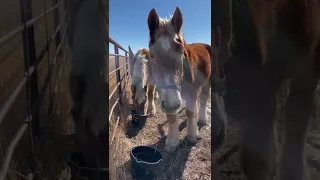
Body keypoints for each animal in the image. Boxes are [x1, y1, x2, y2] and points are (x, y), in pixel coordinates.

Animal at [146, 7, 226, 153]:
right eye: (152, 55)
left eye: (181, 52)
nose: (172, 104)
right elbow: (172, 117)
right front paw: (172, 142)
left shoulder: (191, 90)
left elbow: (190, 112)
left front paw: (192, 135)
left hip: (207, 82)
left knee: (204, 98)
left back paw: (202, 119)